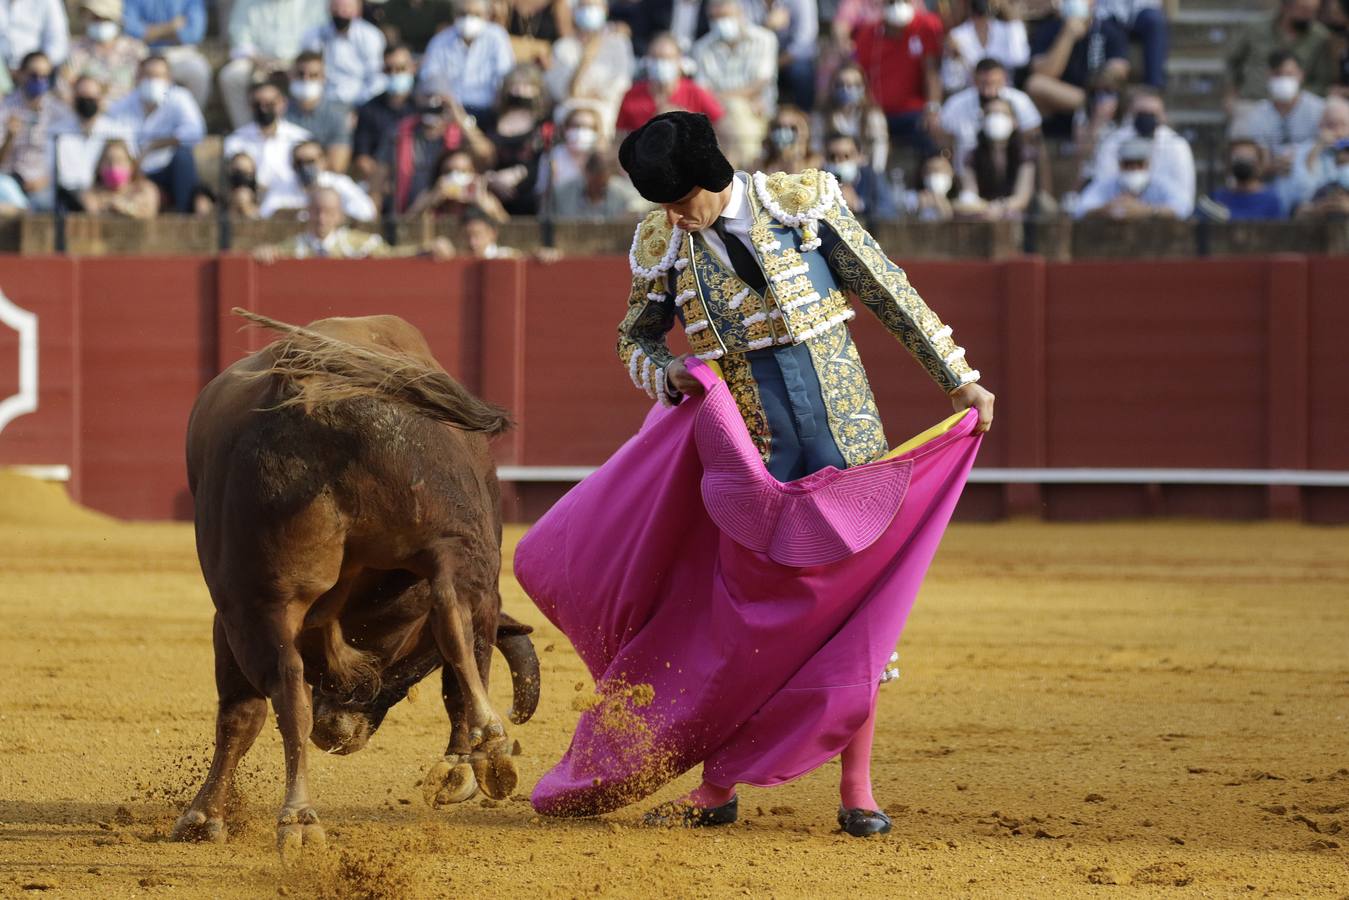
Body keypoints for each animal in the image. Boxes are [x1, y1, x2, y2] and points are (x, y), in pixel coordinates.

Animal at [171, 313, 539, 858]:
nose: (338, 736)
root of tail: (329, 405)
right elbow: (462, 661)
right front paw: (465, 764)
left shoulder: (229, 615)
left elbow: (241, 714)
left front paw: (203, 816)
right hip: (456, 540)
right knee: (457, 620)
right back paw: (483, 750)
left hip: (260, 600)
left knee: (287, 693)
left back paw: (299, 817)